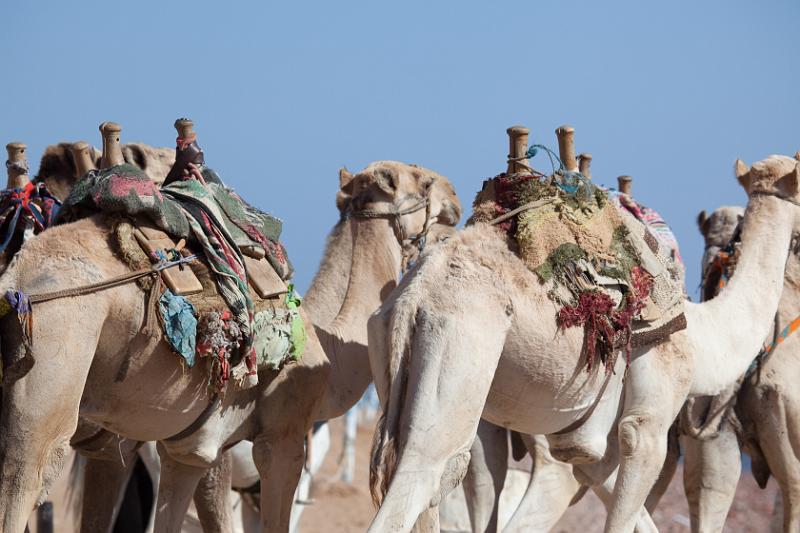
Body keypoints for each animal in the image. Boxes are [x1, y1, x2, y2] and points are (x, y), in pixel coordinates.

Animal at [0, 118, 460, 528]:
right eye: (421, 182)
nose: (455, 198)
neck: (323, 344)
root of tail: (16, 281)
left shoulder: (186, 452)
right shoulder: (282, 440)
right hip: (52, 376)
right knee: (25, 478)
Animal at [364, 122, 800, 528]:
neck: (702, 335)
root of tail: (413, 296)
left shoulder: (591, 447)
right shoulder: (650, 417)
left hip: (390, 354)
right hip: (460, 344)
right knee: (429, 469)